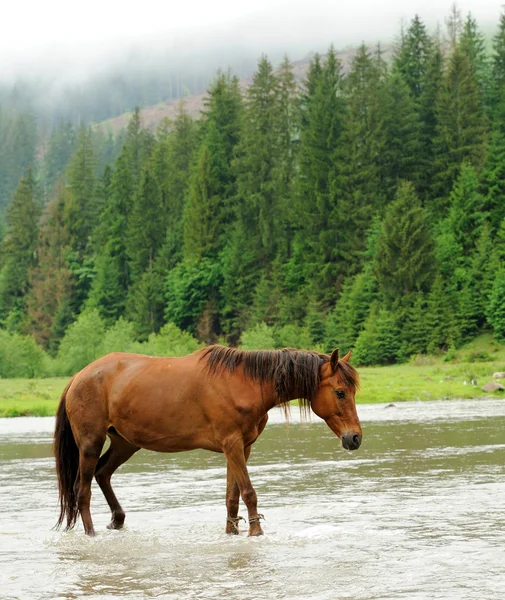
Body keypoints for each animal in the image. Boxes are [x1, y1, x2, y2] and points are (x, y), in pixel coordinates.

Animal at [53, 344, 360, 536]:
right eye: (340, 392)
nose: (355, 437)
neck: (244, 384)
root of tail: (78, 376)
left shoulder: (241, 447)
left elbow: (232, 496)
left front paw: (232, 531)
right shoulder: (232, 444)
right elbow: (248, 492)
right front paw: (256, 531)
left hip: (124, 443)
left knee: (103, 474)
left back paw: (117, 520)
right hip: (90, 444)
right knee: (82, 489)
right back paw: (91, 534)